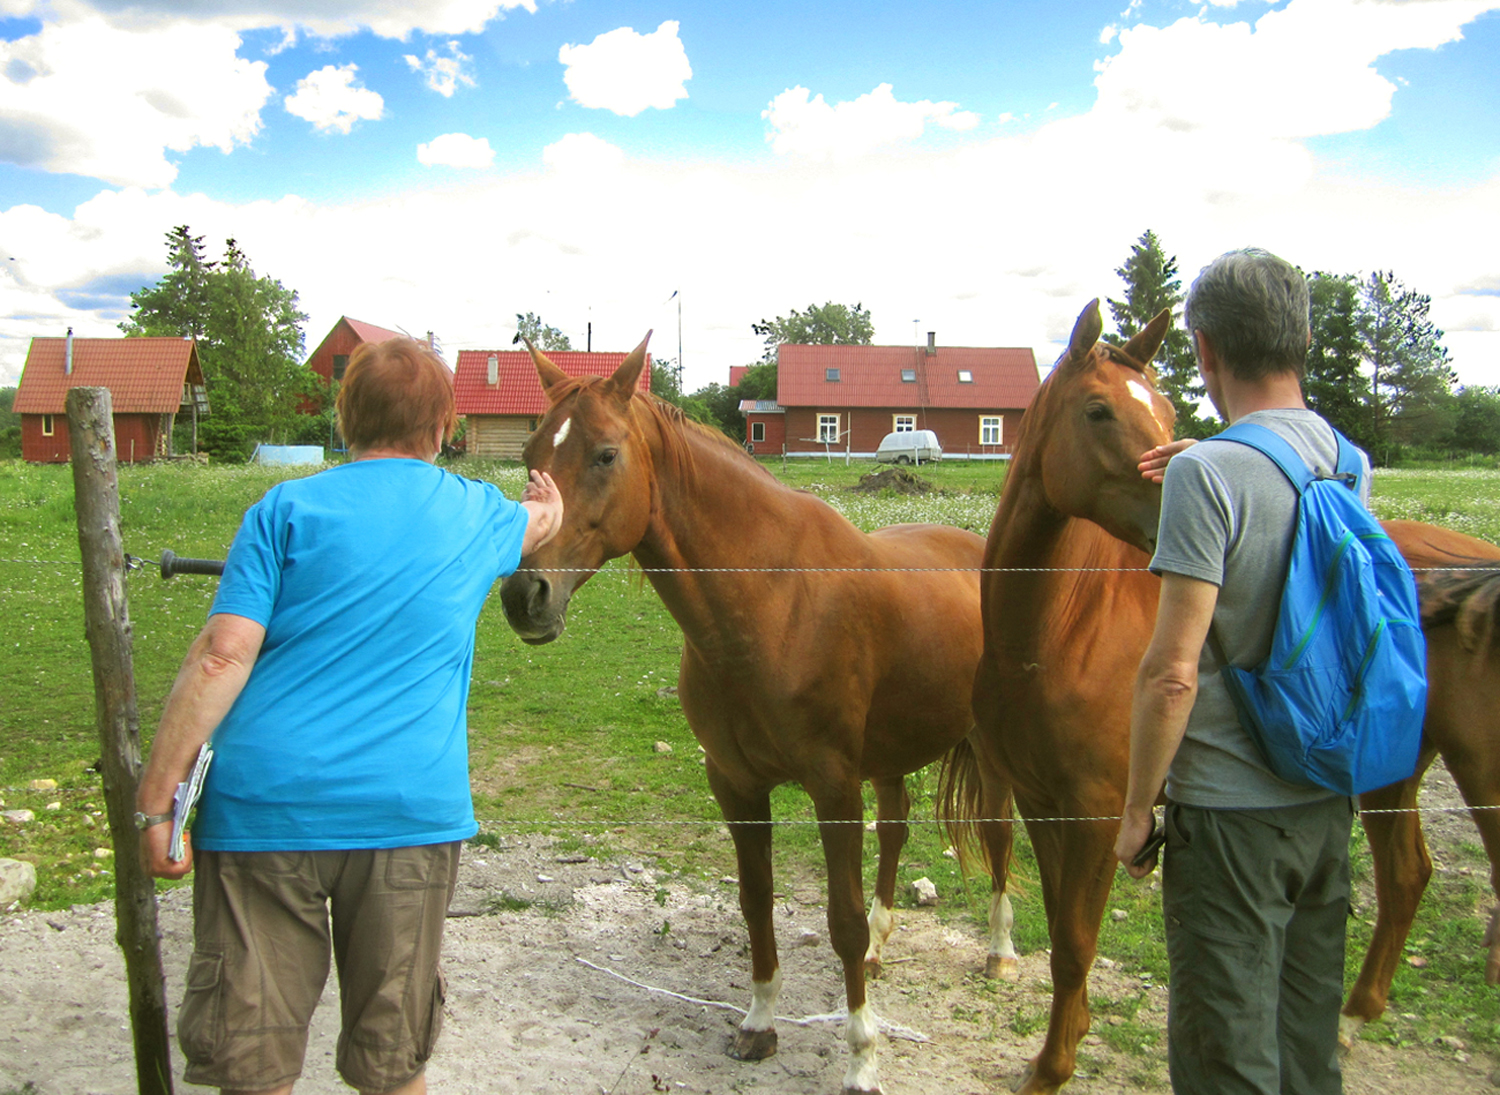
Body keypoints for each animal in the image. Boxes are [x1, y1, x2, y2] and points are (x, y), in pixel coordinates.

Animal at [497, 334, 1014, 1095]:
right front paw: (760, 1022)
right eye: (532, 451)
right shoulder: (736, 783)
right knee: (896, 827)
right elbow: (756, 900)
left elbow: (840, 919)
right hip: (888, 756)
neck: (773, 598)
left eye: (605, 455)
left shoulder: (833, 787)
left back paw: (1001, 953)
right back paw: (884, 947)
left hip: (991, 751)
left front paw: (862, 1058)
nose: (524, 594)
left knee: (1000, 839)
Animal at [953, 298, 1175, 1094]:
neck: (1057, 634)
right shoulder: (1043, 802)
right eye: (1099, 411)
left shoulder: (1100, 815)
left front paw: (1053, 1066)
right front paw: (1067, 1036)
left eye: (1169, 412)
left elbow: (1079, 941)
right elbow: (1061, 935)